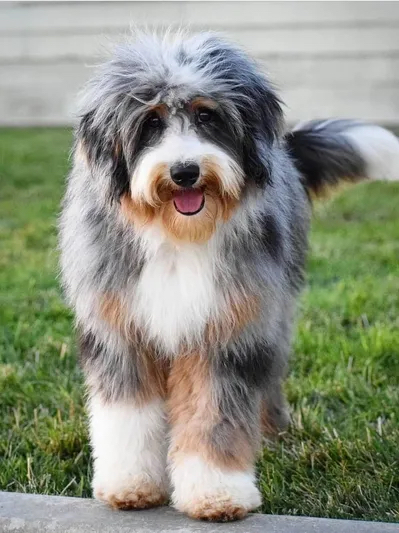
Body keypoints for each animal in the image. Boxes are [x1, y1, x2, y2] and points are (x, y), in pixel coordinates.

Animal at [59, 30, 399, 520]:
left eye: (207, 115)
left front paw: (216, 493)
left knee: (268, 379)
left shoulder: (227, 329)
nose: (185, 172)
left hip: (274, 311)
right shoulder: (120, 329)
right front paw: (130, 484)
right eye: (151, 122)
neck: (177, 236)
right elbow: (128, 415)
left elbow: (215, 413)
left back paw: (272, 437)